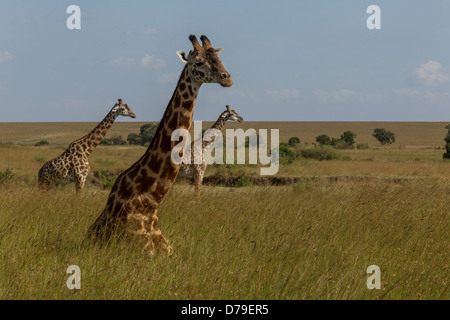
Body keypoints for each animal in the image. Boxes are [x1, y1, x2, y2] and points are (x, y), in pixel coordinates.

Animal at [86, 34, 232, 255]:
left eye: (218, 57)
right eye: (198, 62)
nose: (227, 78)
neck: (150, 203)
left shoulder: (167, 248)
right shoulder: (144, 248)